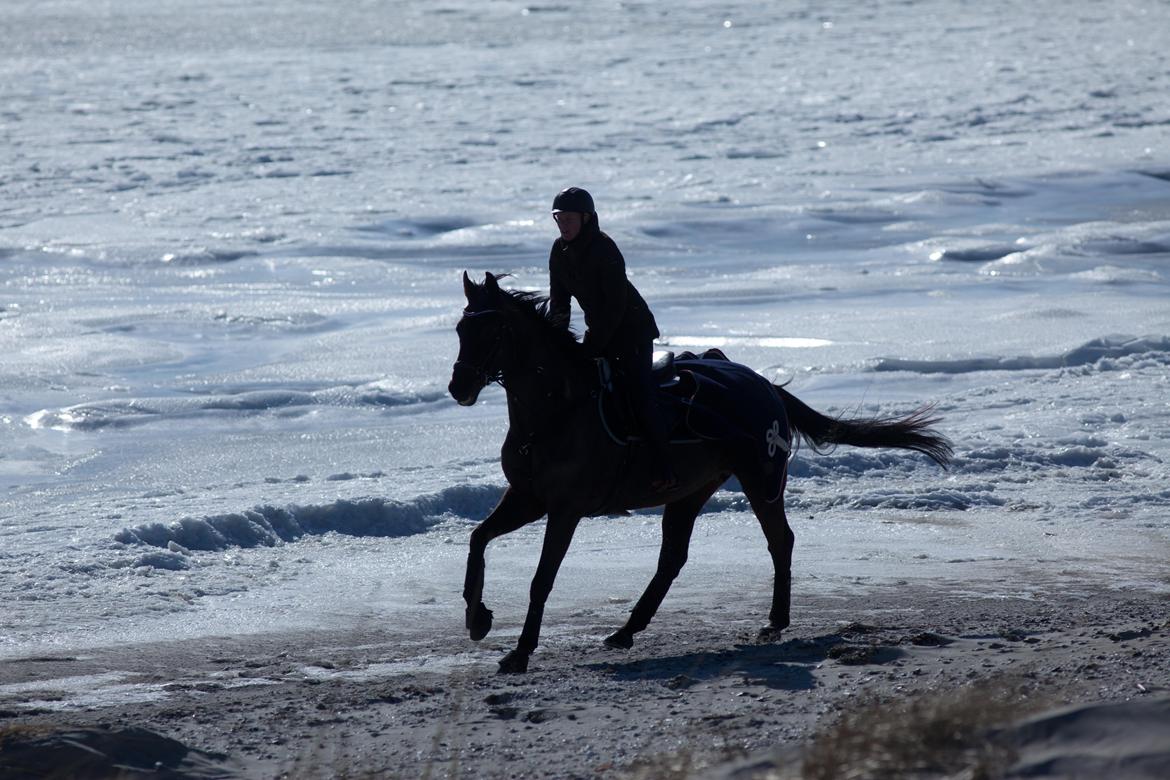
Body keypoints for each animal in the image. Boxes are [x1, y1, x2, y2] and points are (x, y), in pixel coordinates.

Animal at [446, 271, 950, 673]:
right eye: (460, 328)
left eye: (492, 330)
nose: (459, 387)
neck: (556, 412)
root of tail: (765, 385)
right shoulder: (528, 497)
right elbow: (478, 539)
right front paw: (477, 618)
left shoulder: (565, 509)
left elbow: (541, 579)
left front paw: (519, 652)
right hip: (690, 491)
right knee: (673, 559)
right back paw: (626, 630)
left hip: (761, 479)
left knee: (779, 541)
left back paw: (774, 622)